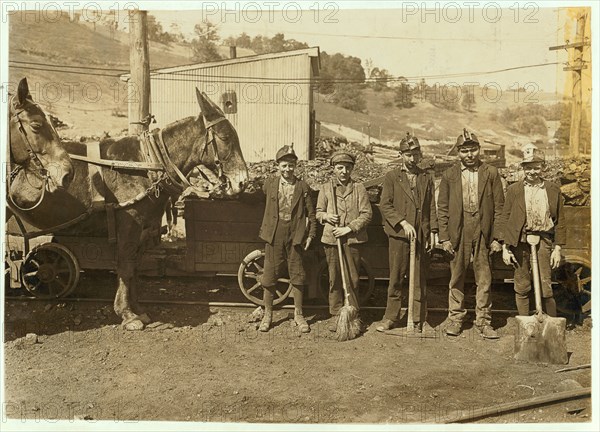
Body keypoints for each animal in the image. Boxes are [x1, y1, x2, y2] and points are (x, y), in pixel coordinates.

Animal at [7, 77, 246, 330]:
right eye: (225, 138)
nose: (242, 181)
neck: (145, 164)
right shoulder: (128, 224)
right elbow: (124, 265)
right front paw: (127, 314)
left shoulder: (144, 228)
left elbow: (135, 268)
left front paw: (138, 309)